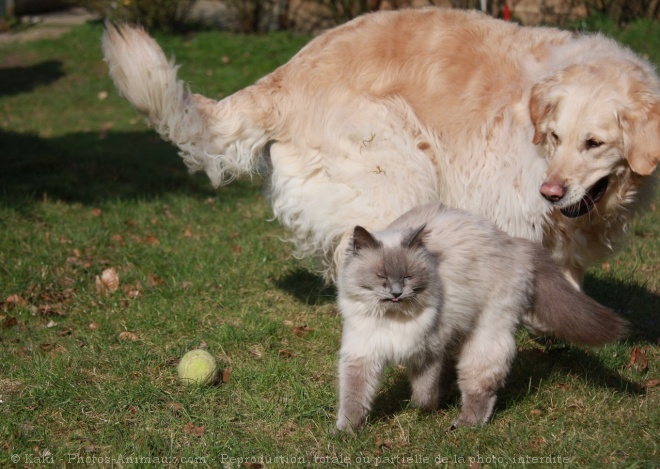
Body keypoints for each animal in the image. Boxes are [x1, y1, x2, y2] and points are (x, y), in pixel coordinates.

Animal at [103, 8, 660, 286]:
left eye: (594, 143)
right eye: (555, 137)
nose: (551, 191)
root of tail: (286, 73)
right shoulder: (511, 208)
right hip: (394, 170)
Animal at [338, 201, 628, 432]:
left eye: (408, 276)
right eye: (381, 277)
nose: (397, 293)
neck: (393, 318)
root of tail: (515, 243)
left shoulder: (429, 352)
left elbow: (423, 393)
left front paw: (426, 408)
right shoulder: (363, 354)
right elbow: (354, 396)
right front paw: (347, 431)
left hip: (485, 336)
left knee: (480, 387)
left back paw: (464, 425)